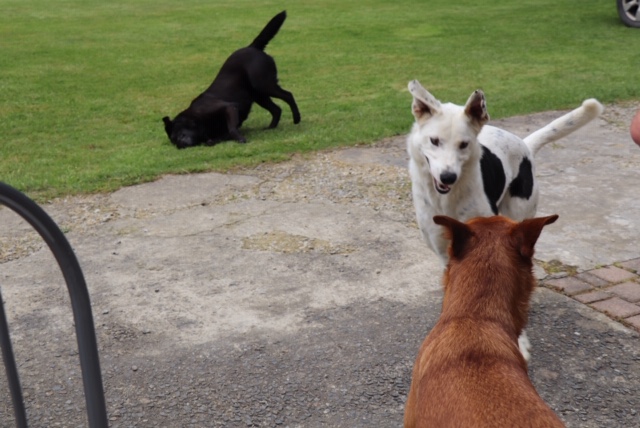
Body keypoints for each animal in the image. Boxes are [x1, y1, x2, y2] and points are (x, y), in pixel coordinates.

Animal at [160, 11, 300, 149]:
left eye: (176, 136)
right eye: (173, 142)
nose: (179, 146)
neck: (194, 117)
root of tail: (253, 46)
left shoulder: (229, 108)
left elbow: (232, 129)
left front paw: (241, 139)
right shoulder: (223, 128)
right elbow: (219, 137)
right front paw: (213, 141)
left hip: (263, 84)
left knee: (288, 95)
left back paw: (297, 118)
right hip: (259, 95)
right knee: (277, 109)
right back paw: (271, 127)